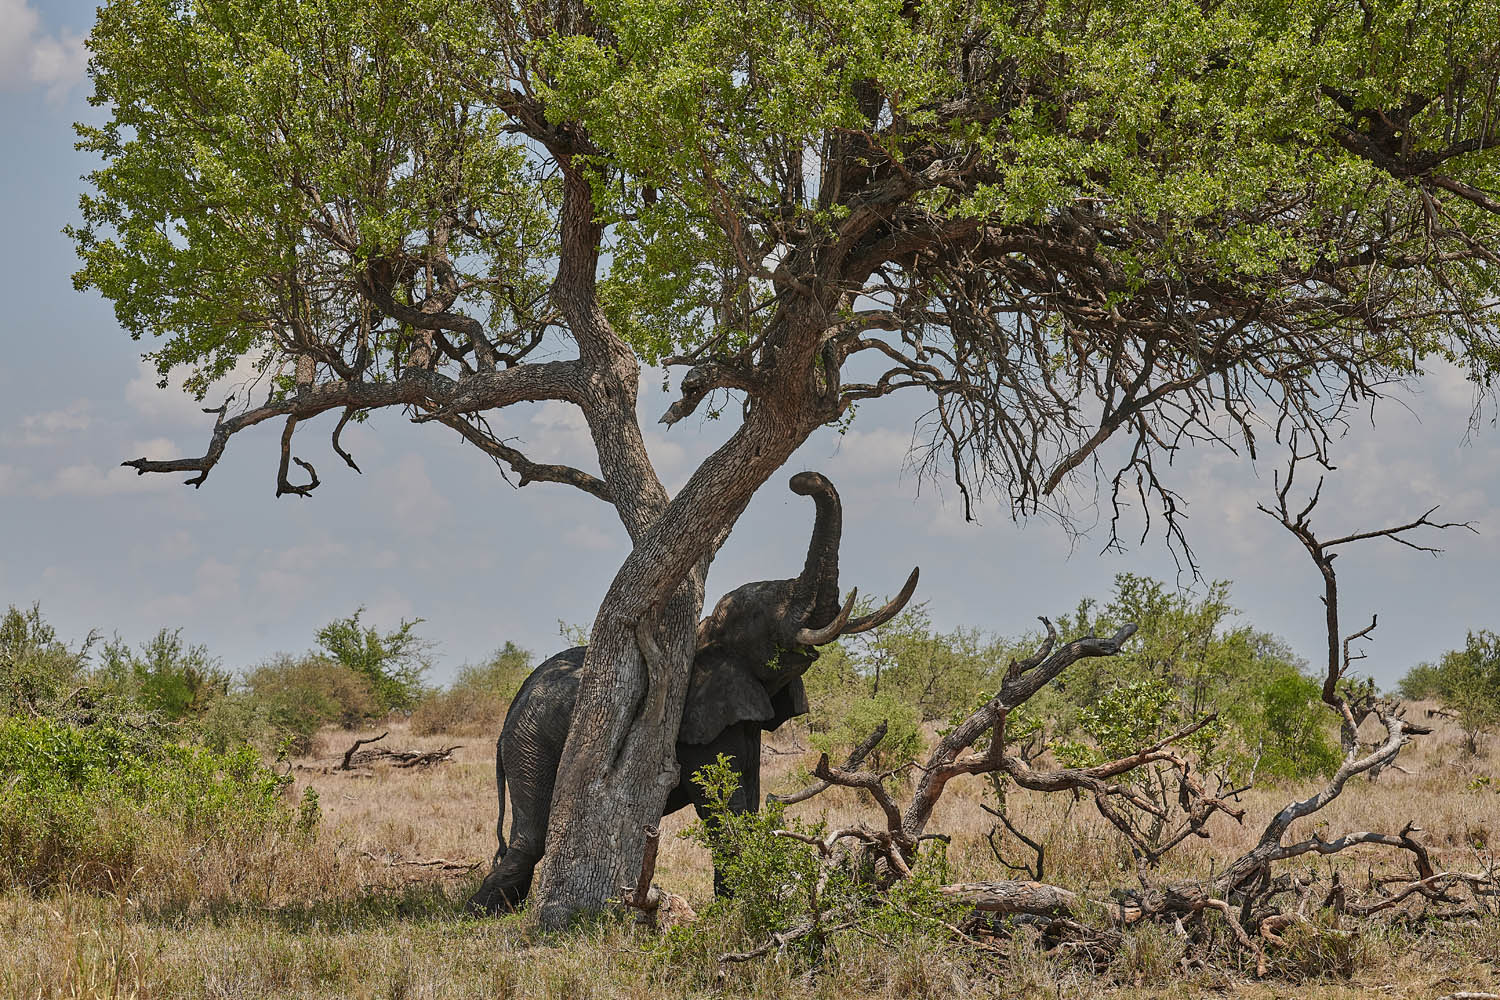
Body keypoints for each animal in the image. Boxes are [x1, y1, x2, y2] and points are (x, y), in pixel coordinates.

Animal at [465, 470, 912, 917]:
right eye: (765, 614)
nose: (799, 481)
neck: (706, 632)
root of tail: (511, 710)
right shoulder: (697, 716)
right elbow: (720, 798)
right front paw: (739, 904)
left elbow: (747, 791)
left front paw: (735, 900)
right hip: (531, 740)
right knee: (532, 836)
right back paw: (482, 911)